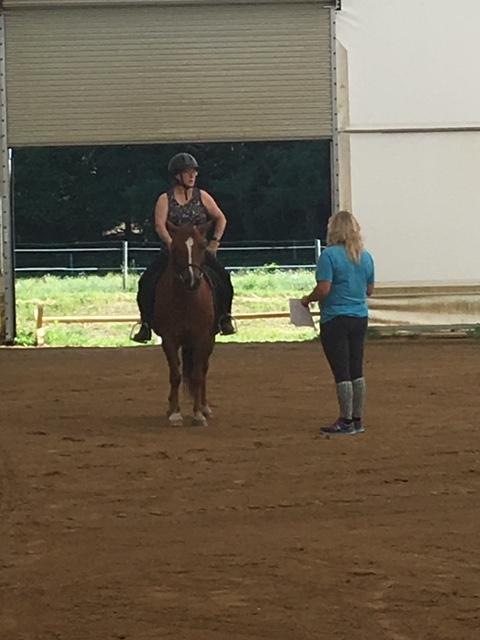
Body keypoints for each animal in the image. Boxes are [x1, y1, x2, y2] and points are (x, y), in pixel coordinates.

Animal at [152, 222, 216, 427]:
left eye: (202, 246)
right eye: (175, 248)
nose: (191, 279)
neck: (187, 300)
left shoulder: (202, 339)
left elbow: (196, 376)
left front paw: (198, 414)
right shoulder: (169, 339)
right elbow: (175, 375)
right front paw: (175, 413)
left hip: (209, 341)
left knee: (203, 370)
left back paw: (205, 407)